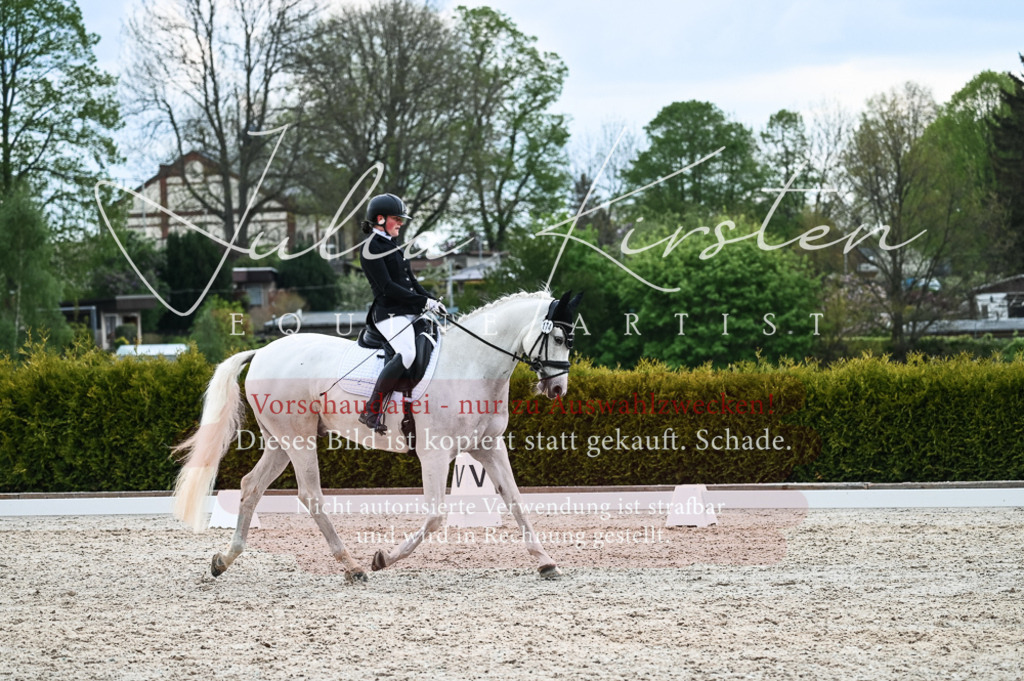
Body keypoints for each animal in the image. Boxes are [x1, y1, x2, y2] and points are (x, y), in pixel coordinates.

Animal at [172, 290, 583, 582]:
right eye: (560, 337)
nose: (558, 389)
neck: (471, 365)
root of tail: (262, 352)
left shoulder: (488, 448)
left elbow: (515, 502)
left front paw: (546, 562)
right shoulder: (434, 455)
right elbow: (435, 517)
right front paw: (383, 558)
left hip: (279, 442)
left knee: (251, 485)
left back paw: (224, 560)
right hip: (298, 440)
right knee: (311, 495)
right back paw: (353, 566)